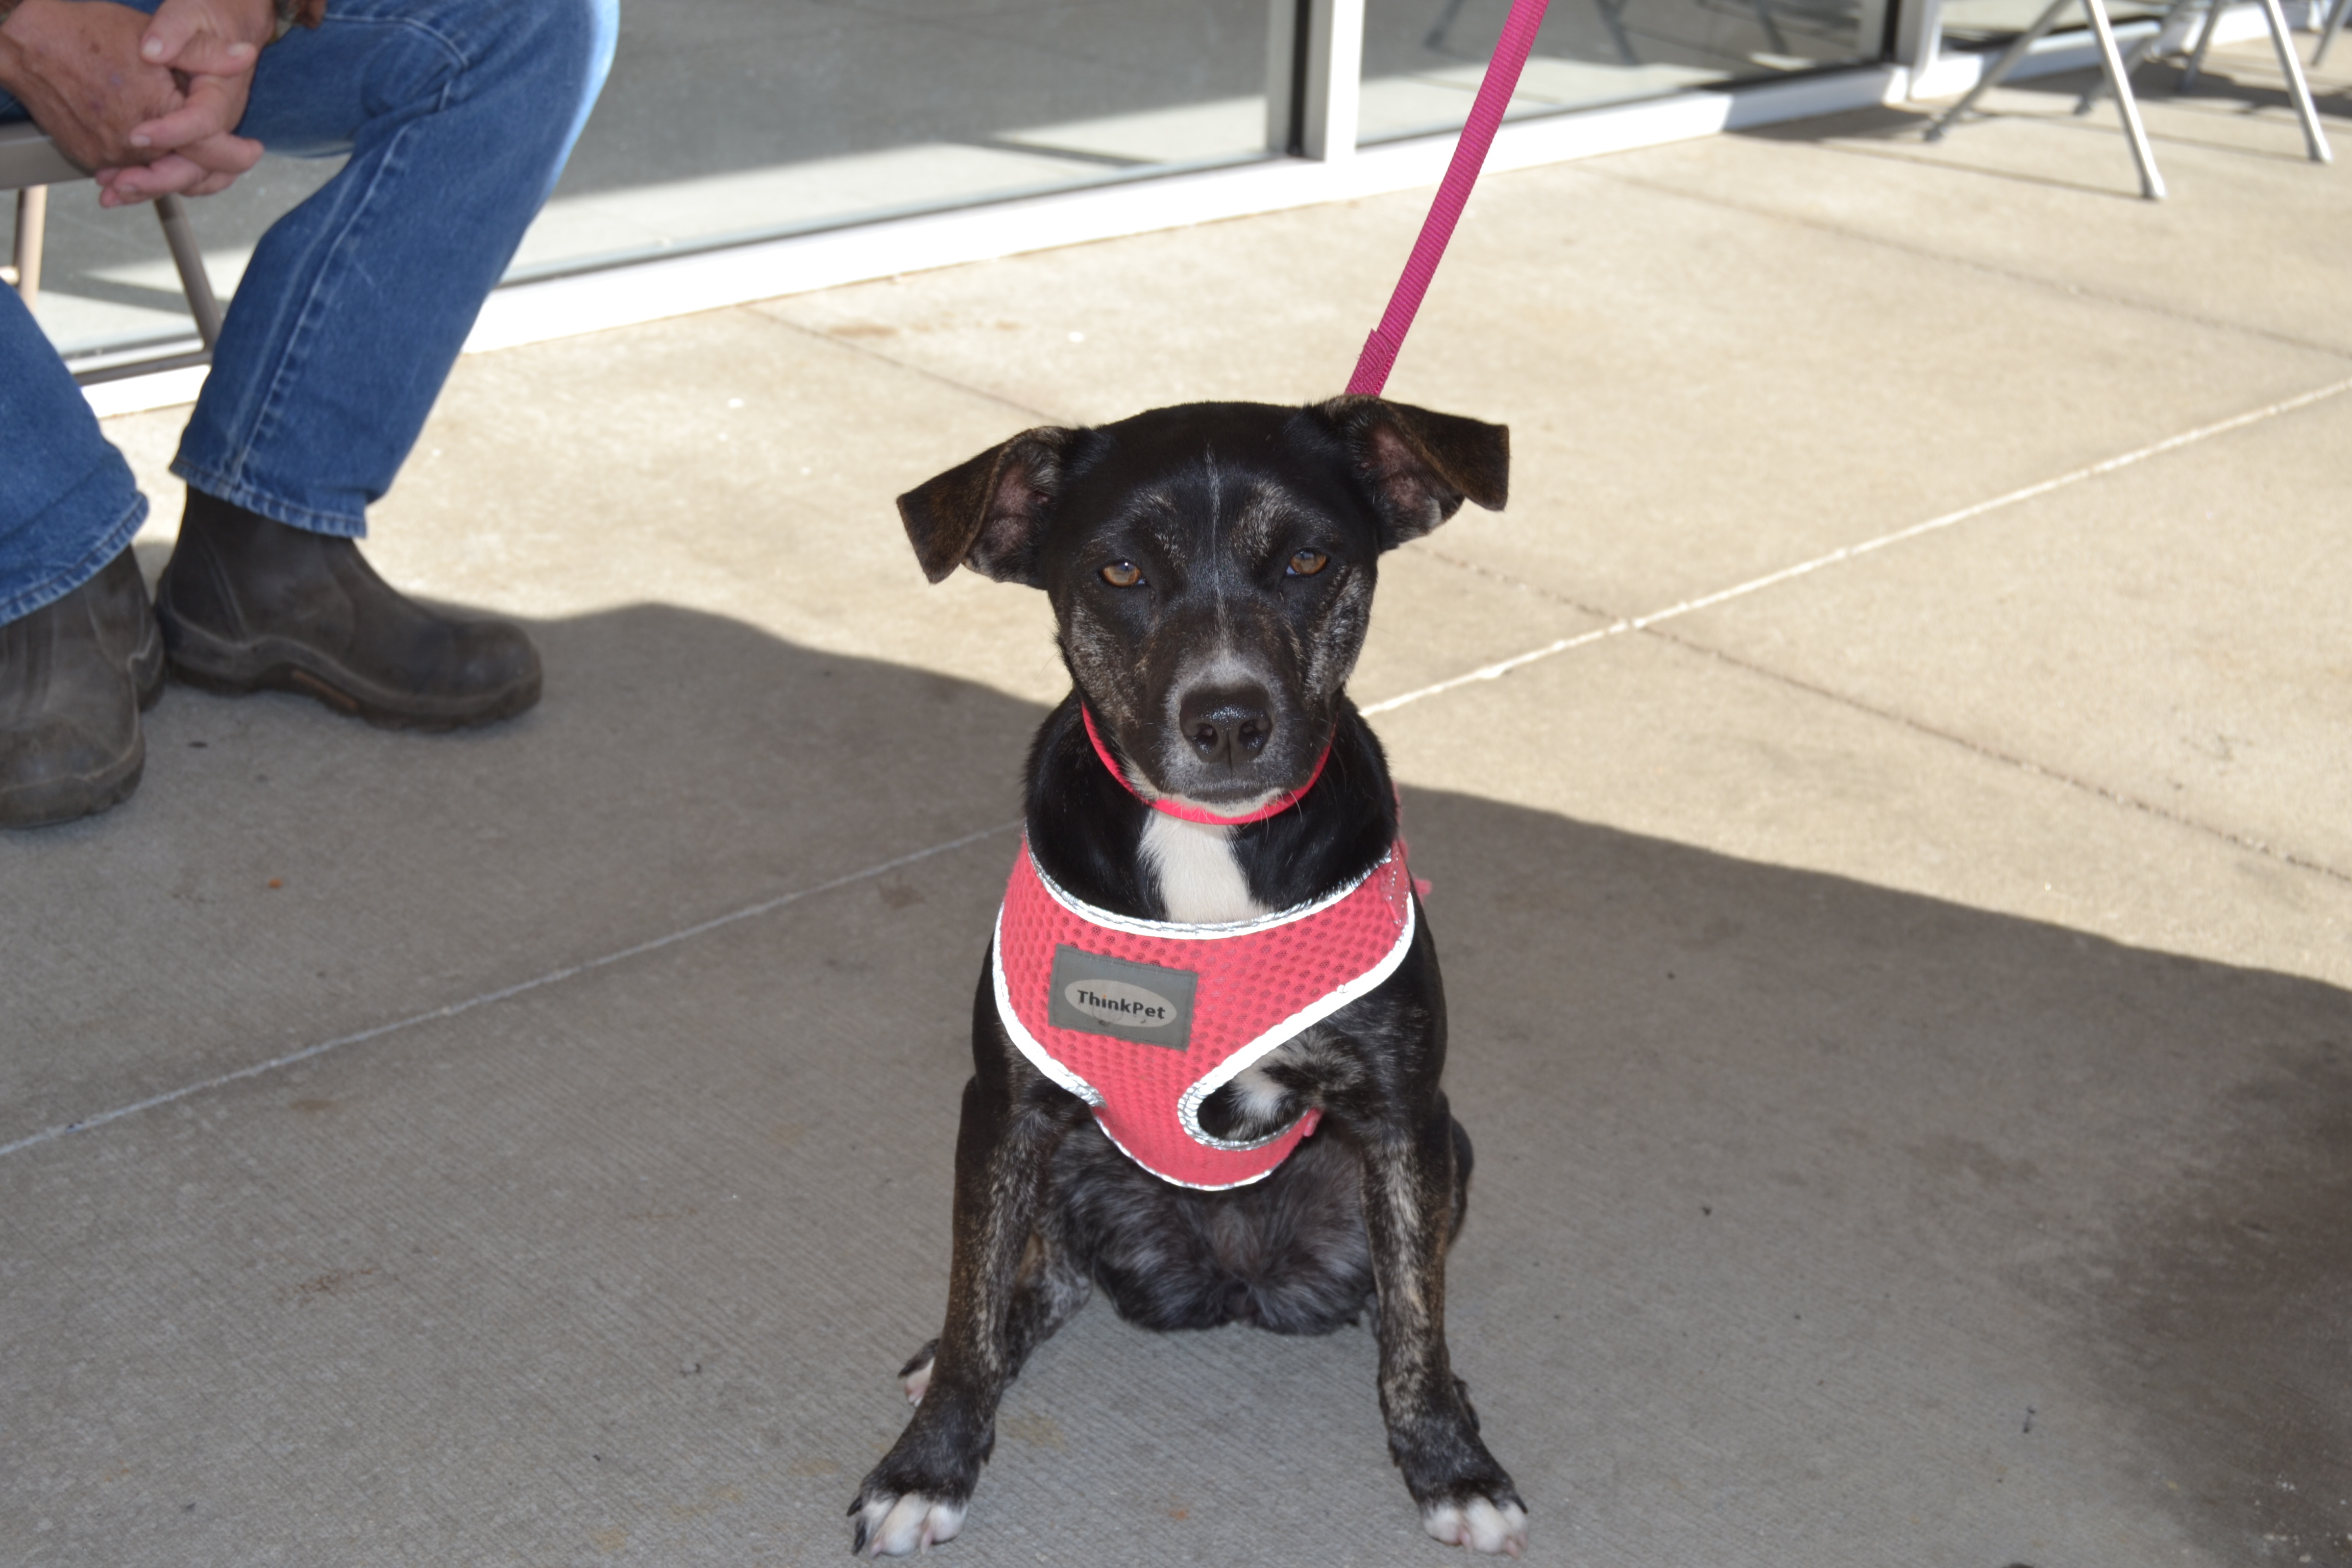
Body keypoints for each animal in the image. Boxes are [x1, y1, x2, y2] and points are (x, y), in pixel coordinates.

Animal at [846, 395, 1524, 1561]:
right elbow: (972, 1297)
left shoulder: (1404, 1115)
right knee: (1042, 1277)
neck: (1208, 843)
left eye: (1308, 558)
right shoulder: (1004, 1109)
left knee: (1397, 1287)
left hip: (1444, 1151)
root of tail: (1233, 1279)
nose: (1229, 720)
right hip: (1074, 1163)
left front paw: (1449, 1460)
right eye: (1118, 572)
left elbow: (1418, 1316)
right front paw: (929, 1461)